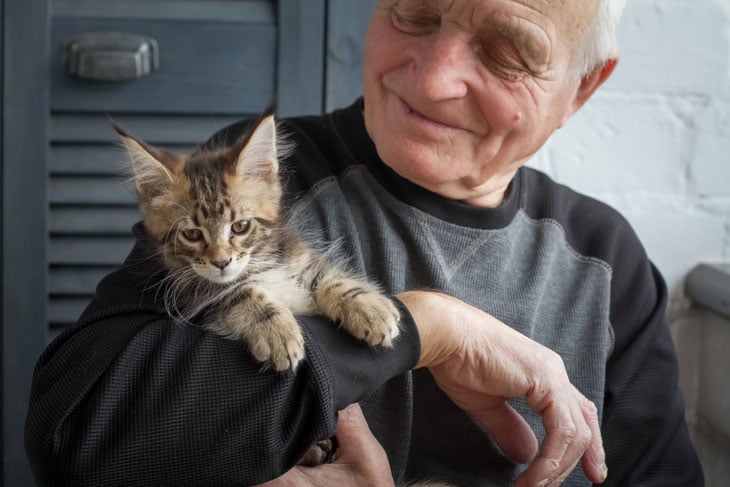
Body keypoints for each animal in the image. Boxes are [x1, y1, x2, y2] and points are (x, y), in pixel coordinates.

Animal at [115, 115, 398, 374]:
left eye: (240, 226)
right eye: (192, 234)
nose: (221, 262)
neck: (258, 266)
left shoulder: (298, 255)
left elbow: (328, 276)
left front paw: (368, 307)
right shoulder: (198, 299)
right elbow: (240, 292)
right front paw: (276, 330)